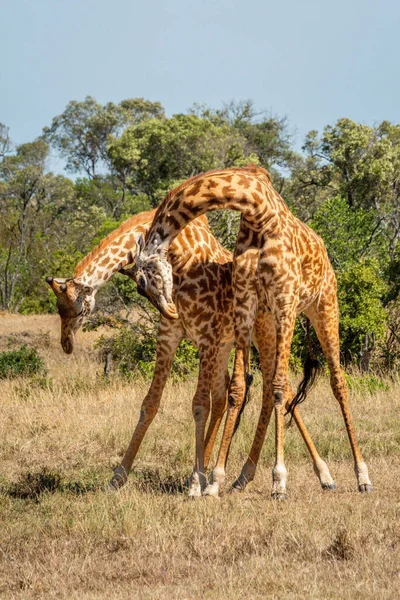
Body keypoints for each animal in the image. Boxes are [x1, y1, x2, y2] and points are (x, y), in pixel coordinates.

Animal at [45, 209, 336, 494]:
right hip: (229, 345)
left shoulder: (206, 336)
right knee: (239, 394)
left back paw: (321, 475)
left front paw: (198, 480)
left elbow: (199, 404)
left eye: (77, 310)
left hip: (262, 335)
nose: (66, 344)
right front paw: (118, 477)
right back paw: (233, 475)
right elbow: (150, 404)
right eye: (59, 310)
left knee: (275, 389)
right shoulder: (170, 336)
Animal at [136, 163, 374, 496]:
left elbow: (278, 386)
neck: (258, 211)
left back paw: (362, 476)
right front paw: (215, 479)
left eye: (141, 283)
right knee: (268, 387)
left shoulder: (285, 300)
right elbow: (239, 387)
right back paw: (244, 476)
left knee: (337, 383)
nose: (170, 311)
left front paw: (279, 479)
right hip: (267, 321)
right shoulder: (246, 301)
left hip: (324, 306)